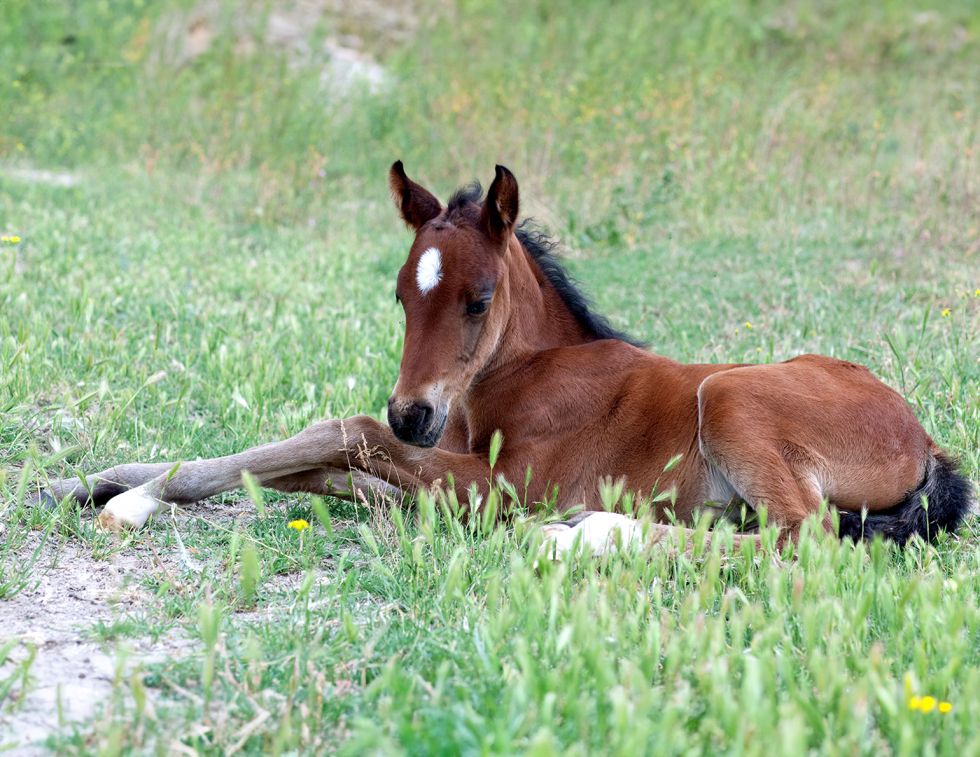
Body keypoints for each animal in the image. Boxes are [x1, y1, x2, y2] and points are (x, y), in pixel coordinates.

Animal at [35, 162, 973, 555]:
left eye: (479, 299)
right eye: (400, 295)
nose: (416, 408)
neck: (523, 376)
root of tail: (929, 441)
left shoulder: (498, 488)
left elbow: (345, 431)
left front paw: (129, 503)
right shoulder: (435, 474)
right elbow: (312, 462)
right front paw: (96, 481)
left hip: (733, 400)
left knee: (805, 541)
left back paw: (583, 536)